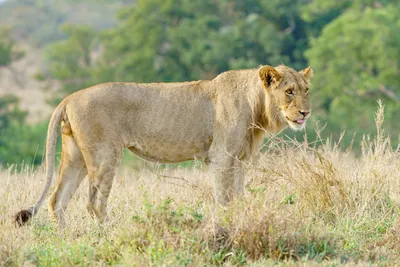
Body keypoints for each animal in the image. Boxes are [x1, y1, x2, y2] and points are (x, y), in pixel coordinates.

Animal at [14, 64, 312, 226]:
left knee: (57, 200)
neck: (256, 105)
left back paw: (68, 239)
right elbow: (225, 198)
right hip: (104, 155)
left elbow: (238, 197)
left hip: (76, 157)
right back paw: (112, 232)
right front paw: (224, 226)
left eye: (306, 90)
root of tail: (69, 97)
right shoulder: (221, 156)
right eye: (289, 92)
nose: (305, 113)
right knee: (94, 203)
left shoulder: (239, 159)